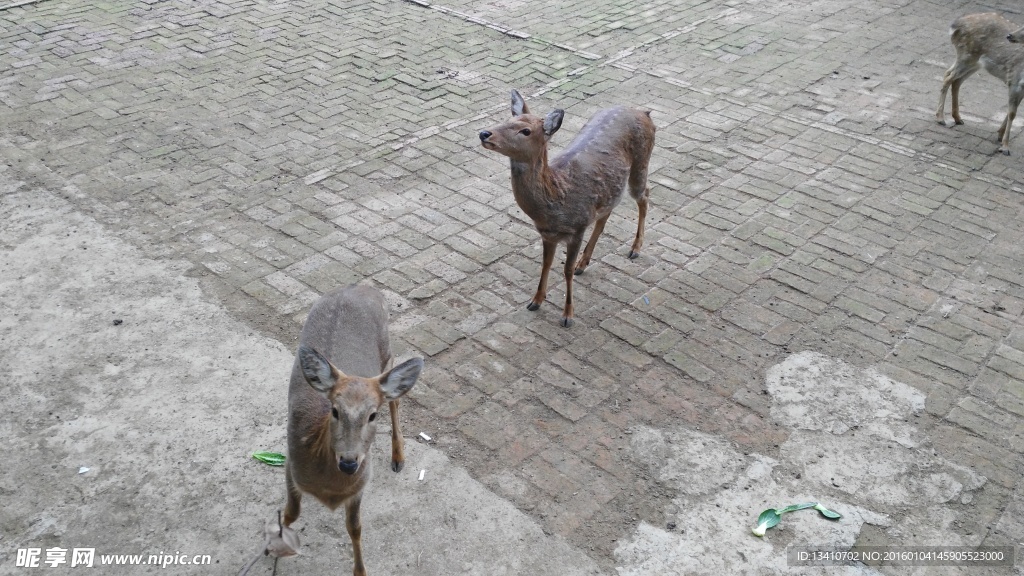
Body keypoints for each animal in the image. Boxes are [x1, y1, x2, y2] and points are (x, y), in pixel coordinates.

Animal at [278, 284, 421, 573]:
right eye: (334, 410)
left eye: (372, 415)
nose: (348, 463)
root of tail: (361, 287)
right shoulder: (290, 462)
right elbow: (290, 513)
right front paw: (274, 551)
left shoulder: (360, 486)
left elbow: (355, 527)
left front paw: (361, 571)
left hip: (387, 354)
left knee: (396, 399)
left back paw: (398, 457)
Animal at [479, 88, 655, 325]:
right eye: (508, 119)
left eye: (525, 130)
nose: (484, 133)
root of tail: (644, 113)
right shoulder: (547, 234)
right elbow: (545, 264)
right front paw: (535, 301)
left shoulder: (577, 229)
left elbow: (566, 270)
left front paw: (567, 315)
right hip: (611, 189)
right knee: (606, 213)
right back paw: (584, 262)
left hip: (641, 164)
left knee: (644, 195)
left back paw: (635, 249)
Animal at [937, 12, 1024, 153]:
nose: (1009, 35)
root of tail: (955, 26)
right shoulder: (1014, 80)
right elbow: (1012, 113)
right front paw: (1005, 147)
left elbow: (1013, 111)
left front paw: (1000, 135)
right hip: (967, 55)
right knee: (948, 76)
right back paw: (940, 118)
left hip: (974, 63)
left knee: (955, 80)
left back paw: (958, 118)